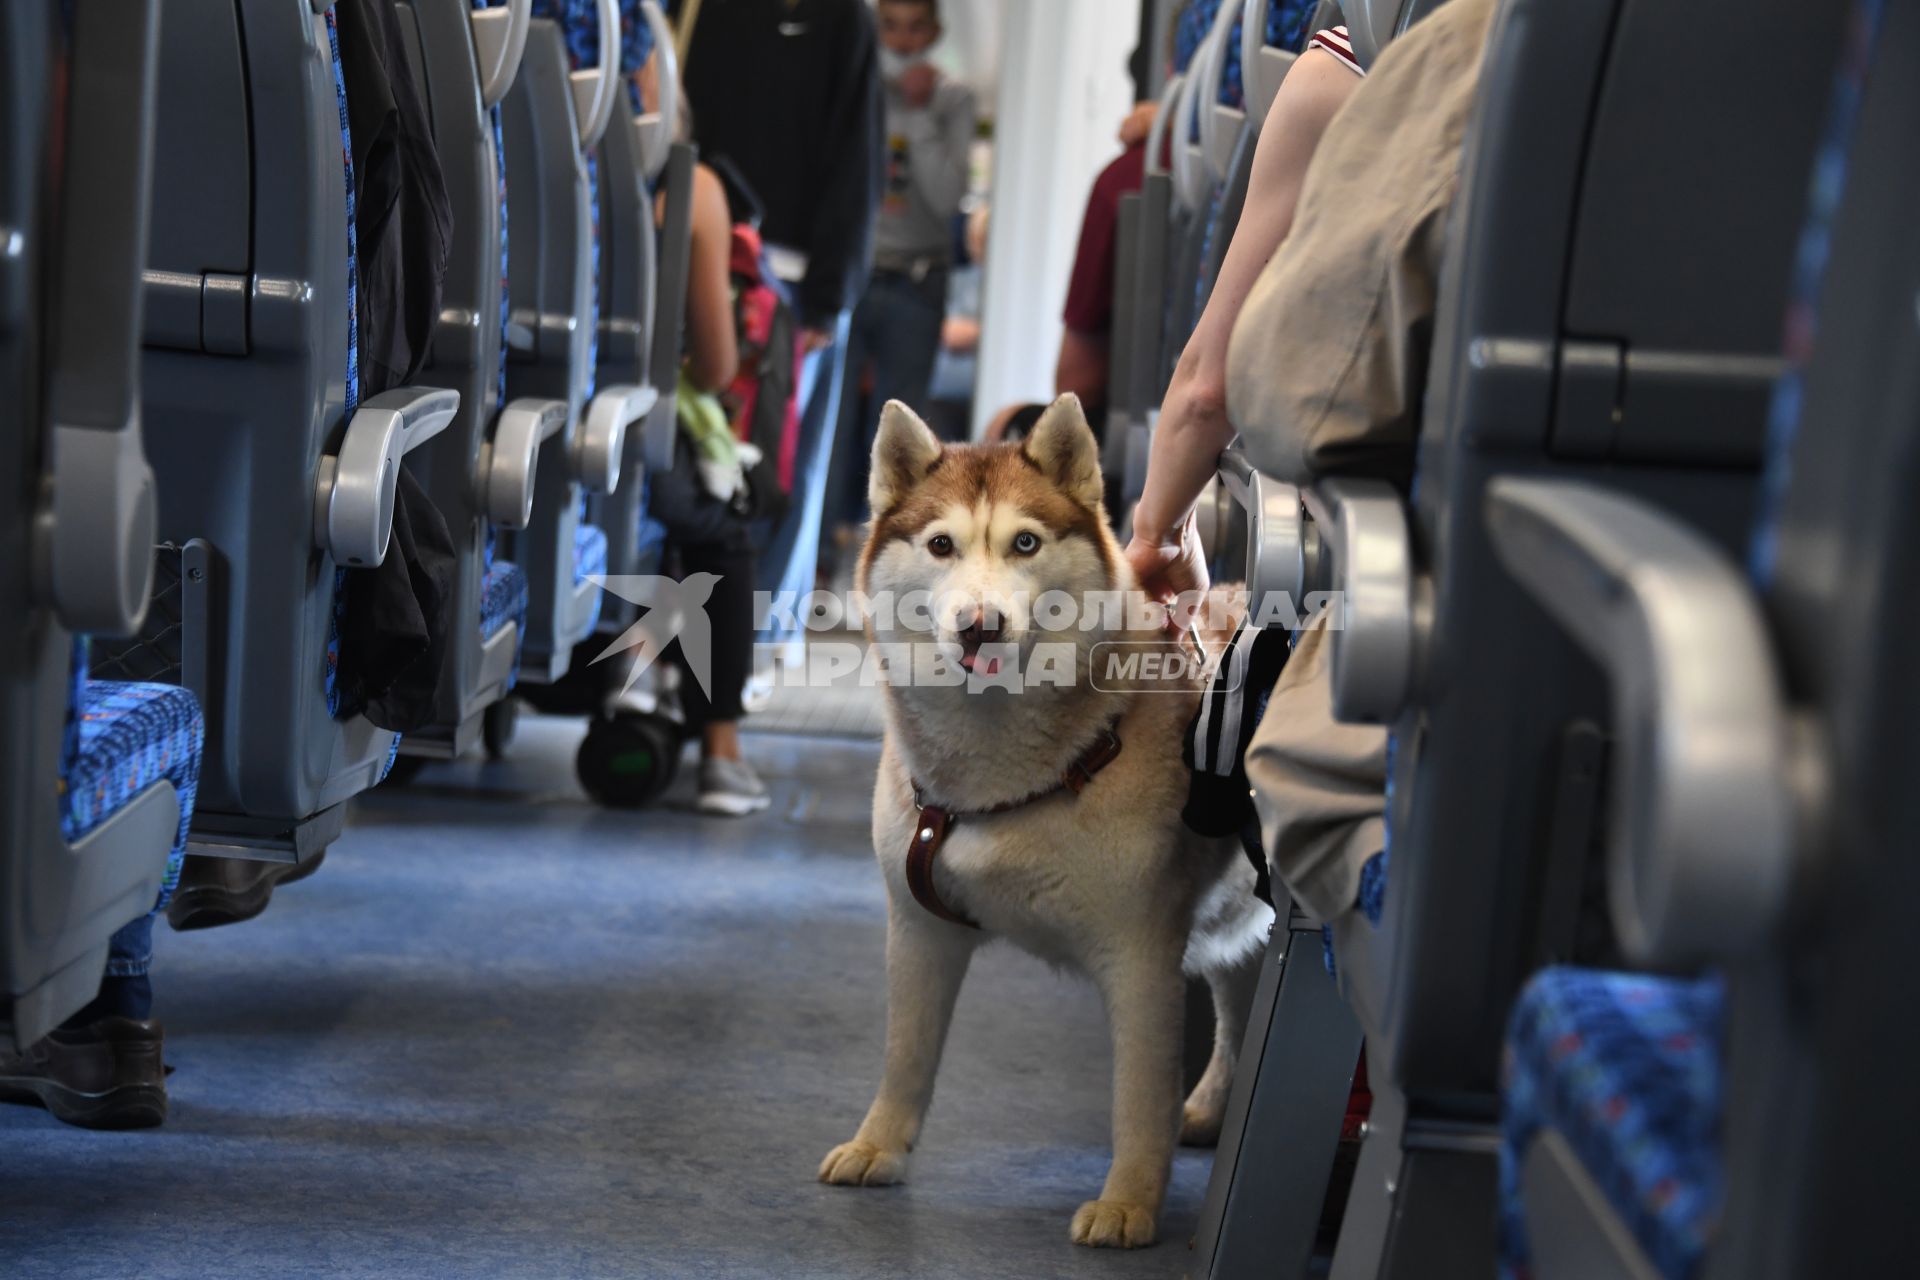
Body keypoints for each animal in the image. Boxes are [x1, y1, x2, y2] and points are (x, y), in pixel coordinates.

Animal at [814, 395, 1274, 1243]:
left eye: (1025, 542)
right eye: (940, 545)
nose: (979, 624)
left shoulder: (1141, 958)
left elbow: (1138, 1097)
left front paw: (1130, 1202)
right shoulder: (917, 930)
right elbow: (906, 1054)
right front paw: (880, 1145)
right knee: (1235, 1009)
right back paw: (1209, 1108)